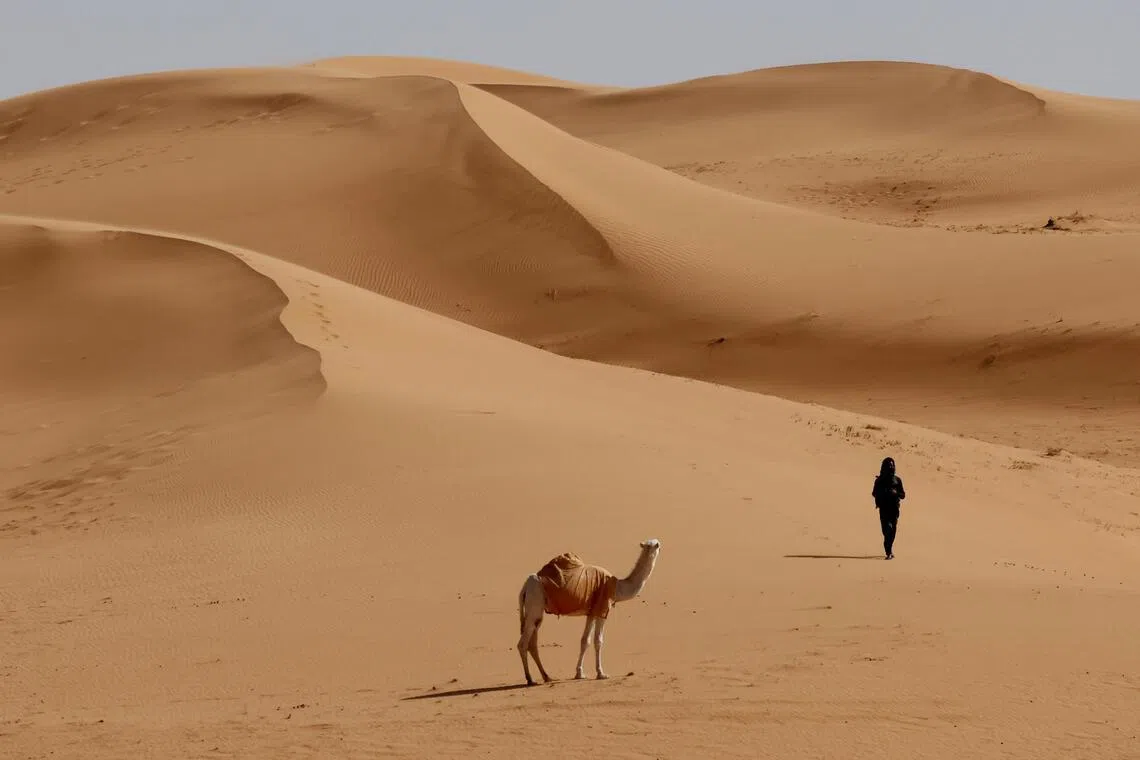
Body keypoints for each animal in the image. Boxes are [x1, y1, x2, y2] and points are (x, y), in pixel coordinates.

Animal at [517, 538, 661, 686]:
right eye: (658, 545)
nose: (661, 546)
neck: (617, 587)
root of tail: (525, 586)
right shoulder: (602, 609)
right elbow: (598, 641)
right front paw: (601, 674)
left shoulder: (591, 612)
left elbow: (585, 640)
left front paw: (579, 673)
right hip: (534, 604)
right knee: (522, 644)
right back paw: (530, 679)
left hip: (536, 612)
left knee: (532, 643)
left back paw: (546, 677)